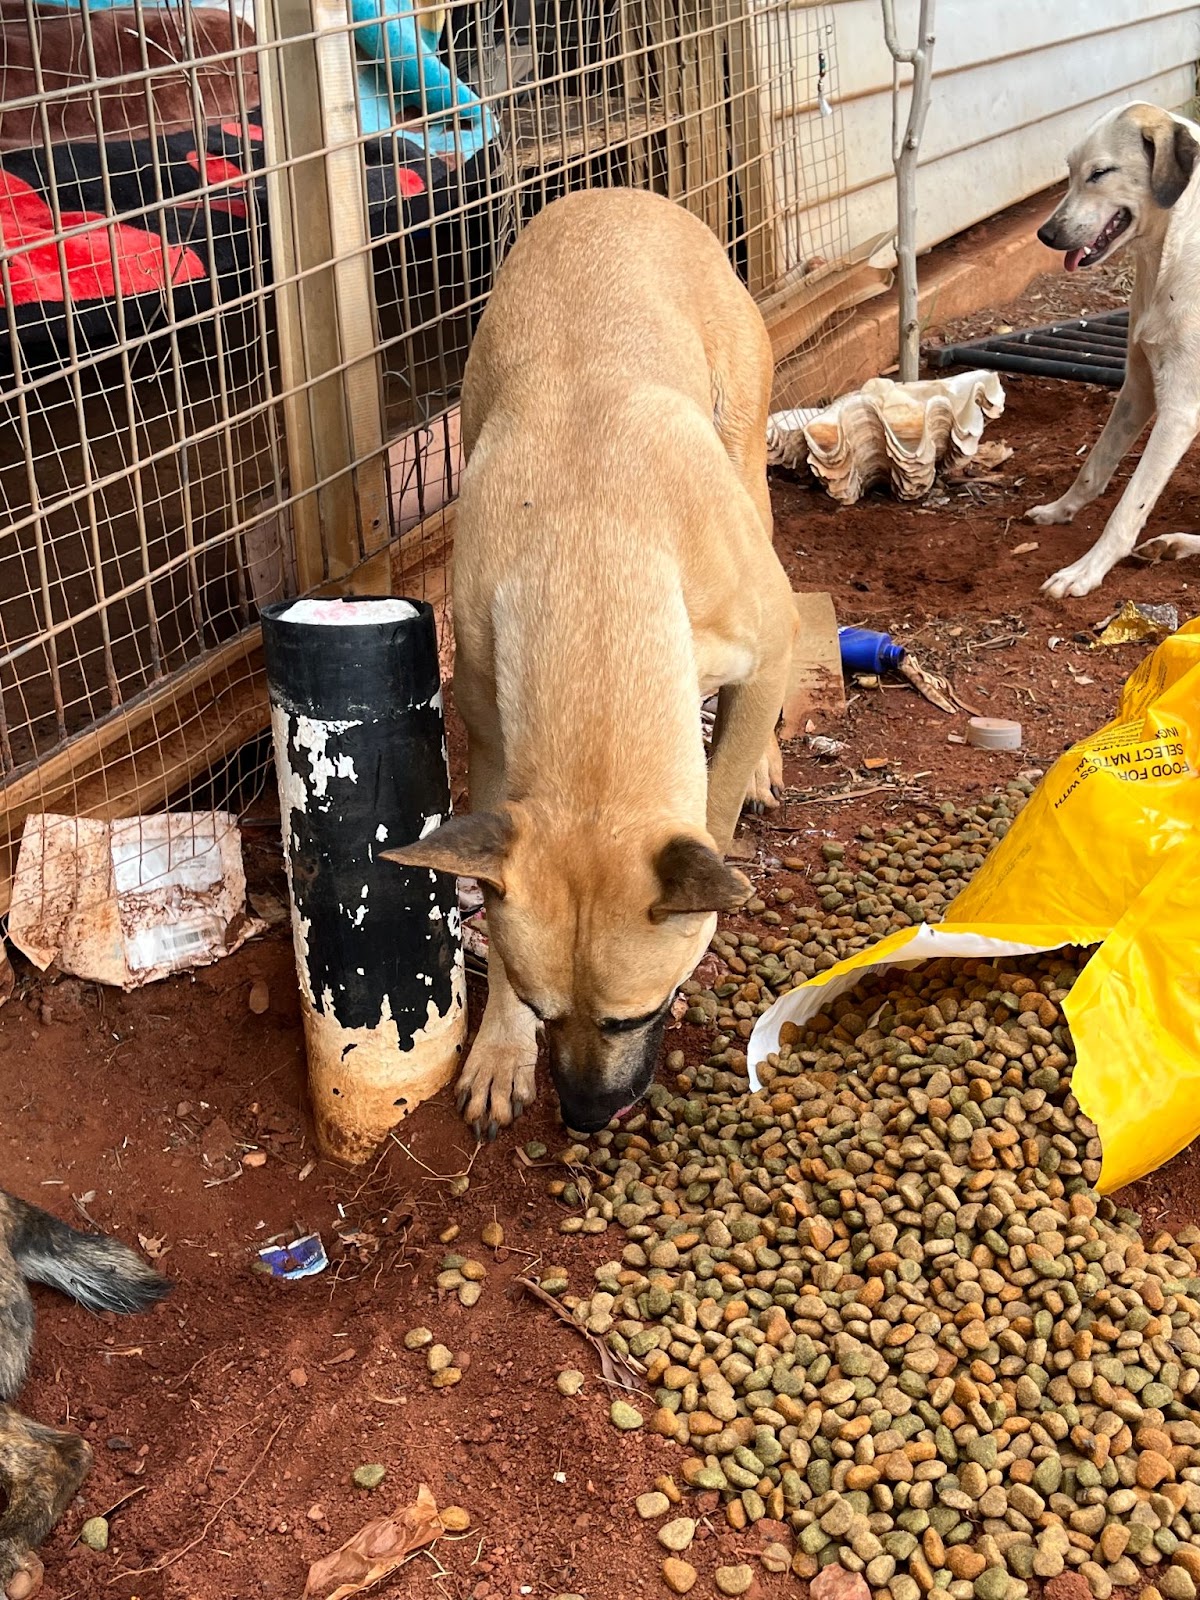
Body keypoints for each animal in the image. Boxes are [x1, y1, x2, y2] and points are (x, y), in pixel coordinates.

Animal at [385, 187, 800, 1139]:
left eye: (634, 1016)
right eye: (544, 1013)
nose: (583, 1116)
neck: (591, 559)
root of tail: (614, 192)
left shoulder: (765, 643)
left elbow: (716, 802)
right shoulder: (494, 744)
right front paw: (499, 1051)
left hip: (746, 455)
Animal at [1024, 101, 1200, 601]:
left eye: (1100, 173)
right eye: (1069, 171)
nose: (1045, 234)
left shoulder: (1180, 411)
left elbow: (1129, 507)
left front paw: (1085, 570)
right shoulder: (1138, 385)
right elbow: (1095, 464)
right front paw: (1061, 509)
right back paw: (1174, 543)